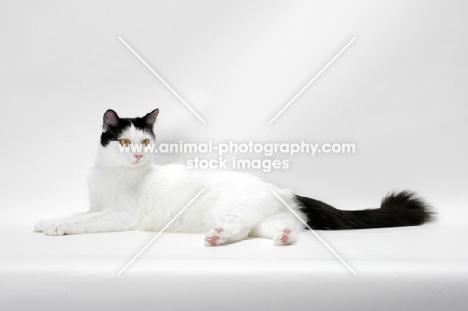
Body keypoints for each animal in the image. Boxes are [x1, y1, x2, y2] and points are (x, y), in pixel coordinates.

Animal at [34, 109, 434, 246]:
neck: (110, 173)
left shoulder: (119, 214)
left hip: (234, 210)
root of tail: (279, 188)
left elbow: (84, 222)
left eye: (145, 141)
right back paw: (284, 238)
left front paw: (56, 227)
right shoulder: (96, 204)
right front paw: (47, 221)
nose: (137, 154)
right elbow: (78, 214)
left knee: (237, 228)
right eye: (125, 141)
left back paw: (217, 238)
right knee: (284, 227)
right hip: (266, 218)